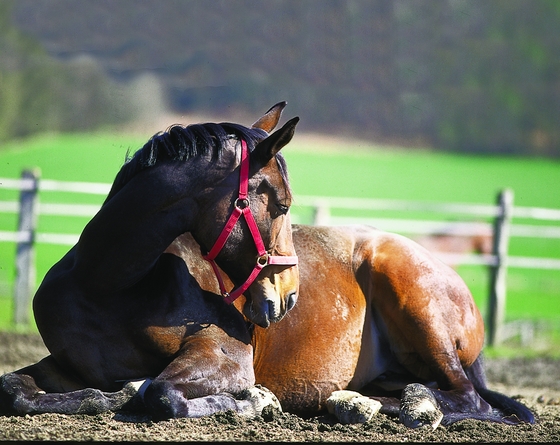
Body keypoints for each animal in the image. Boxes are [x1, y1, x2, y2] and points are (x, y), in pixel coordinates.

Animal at [0, 100, 302, 420]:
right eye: (282, 205)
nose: (290, 293)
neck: (104, 286)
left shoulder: (226, 353)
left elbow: (163, 392)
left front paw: (258, 399)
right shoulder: (66, 367)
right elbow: (14, 389)